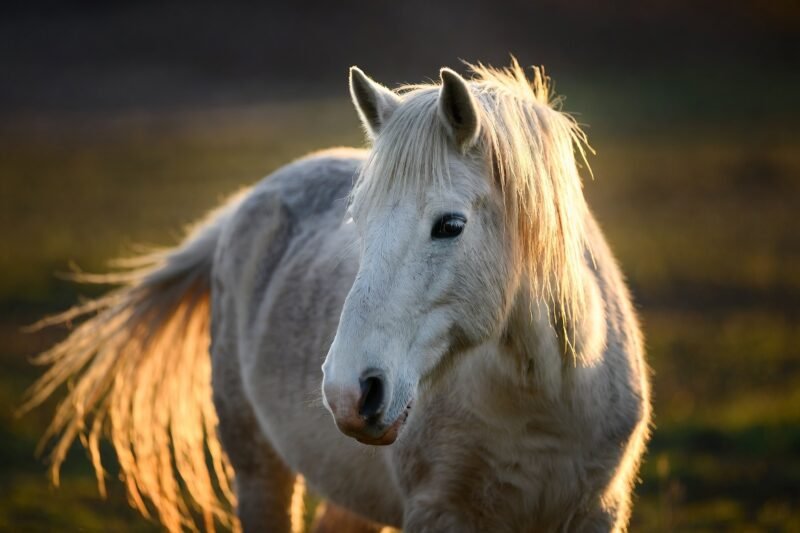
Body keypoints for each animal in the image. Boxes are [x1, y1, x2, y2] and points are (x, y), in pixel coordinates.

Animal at [24, 61, 651, 532]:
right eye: (360, 224)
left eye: (450, 225)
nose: (350, 392)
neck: (546, 399)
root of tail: (248, 199)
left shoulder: (599, 511)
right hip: (258, 470)